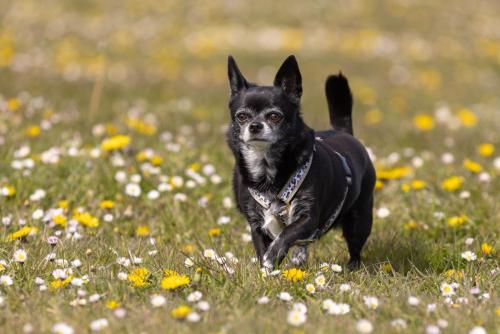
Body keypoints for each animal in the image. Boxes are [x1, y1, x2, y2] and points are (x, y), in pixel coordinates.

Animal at [227, 54, 376, 268]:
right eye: (241, 116)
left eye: (275, 116)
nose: (255, 125)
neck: (267, 168)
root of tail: (342, 131)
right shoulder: (256, 225)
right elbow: (263, 248)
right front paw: (266, 268)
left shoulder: (307, 218)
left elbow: (286, 235)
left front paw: (271, 259)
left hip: (360, 219)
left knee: (355, 248)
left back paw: (351, 267)